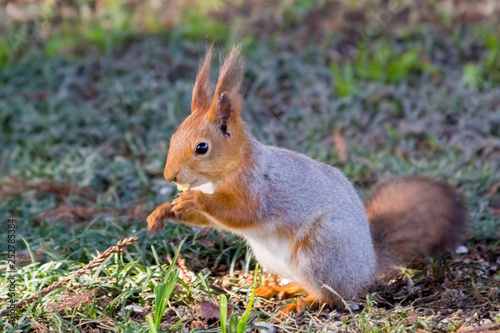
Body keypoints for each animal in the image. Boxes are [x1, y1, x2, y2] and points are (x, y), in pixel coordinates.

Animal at [146, 44, 466, 314]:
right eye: (174, 136)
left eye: (202, 148)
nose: (170, 176)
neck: (226, 173)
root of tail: (367, 265)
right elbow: (210, 221)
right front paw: (163, 211)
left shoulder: (257, 189)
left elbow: (240, 213)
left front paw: (195, 198)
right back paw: (281, 289)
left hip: (320, 250)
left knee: (332, 295)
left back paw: (304, 302)